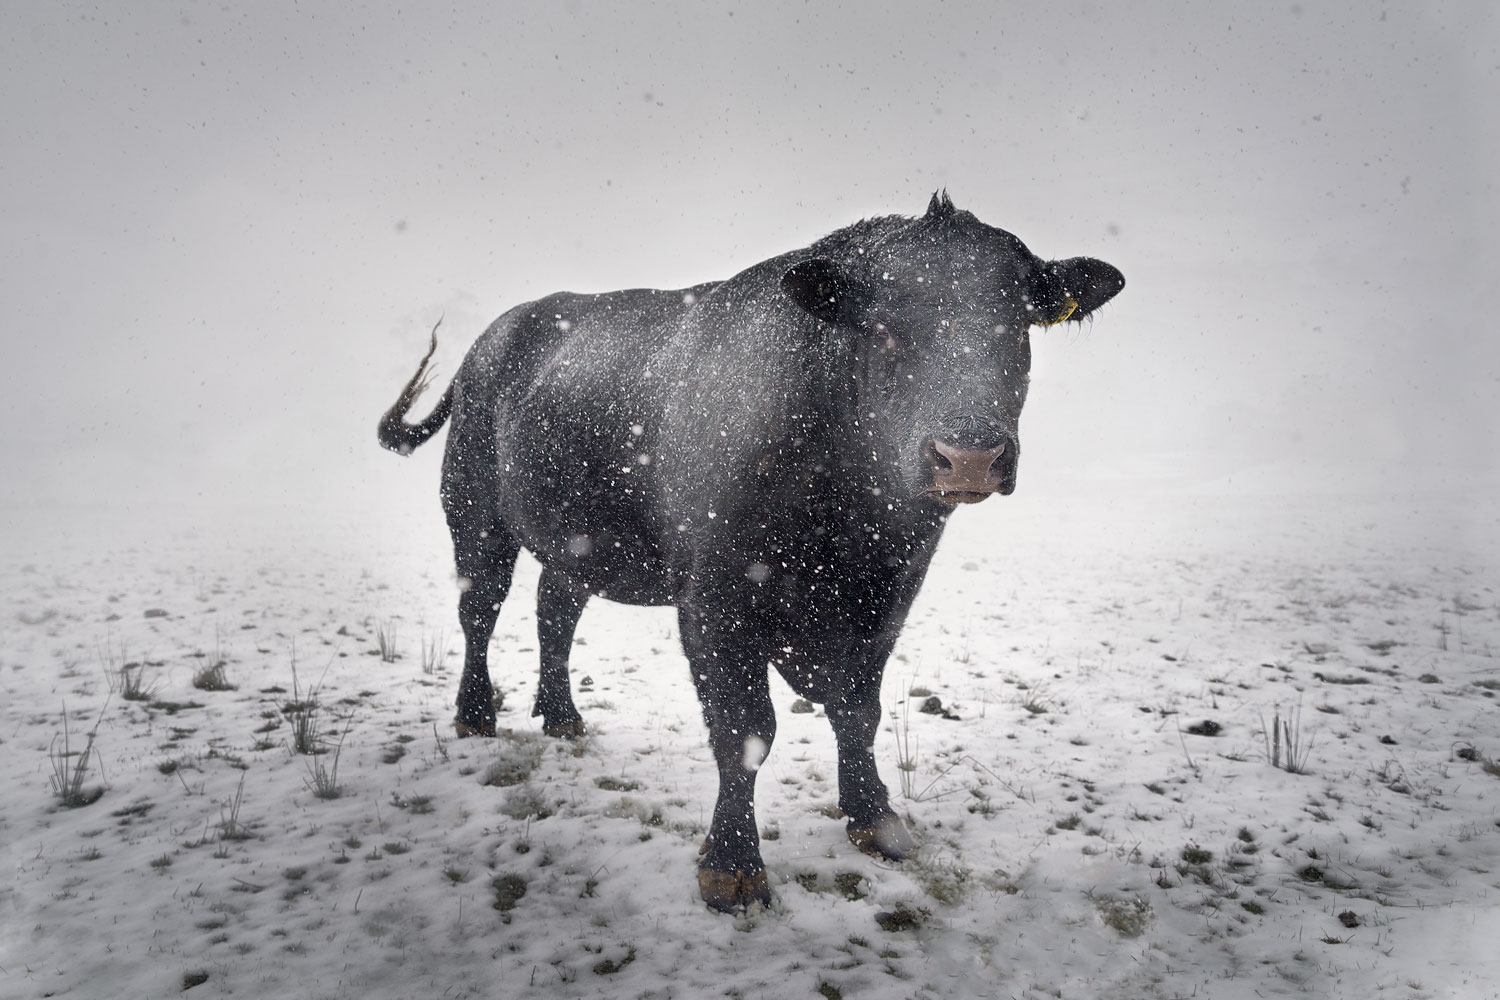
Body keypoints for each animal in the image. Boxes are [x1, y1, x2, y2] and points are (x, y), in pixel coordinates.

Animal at [377, 192, 1123, 911]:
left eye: (1017, 324)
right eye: (884, 325)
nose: (968, 456)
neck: (849, 525)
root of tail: (498, 336)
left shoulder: (888, 599)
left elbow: (860, 710)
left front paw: (875, 819)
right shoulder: (715, 600)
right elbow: (744, 730)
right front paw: (732, 869)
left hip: (574, 546)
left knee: (554, 613)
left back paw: (562, 718)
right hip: (474, 515)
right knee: (481, 610)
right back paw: (476, 716)